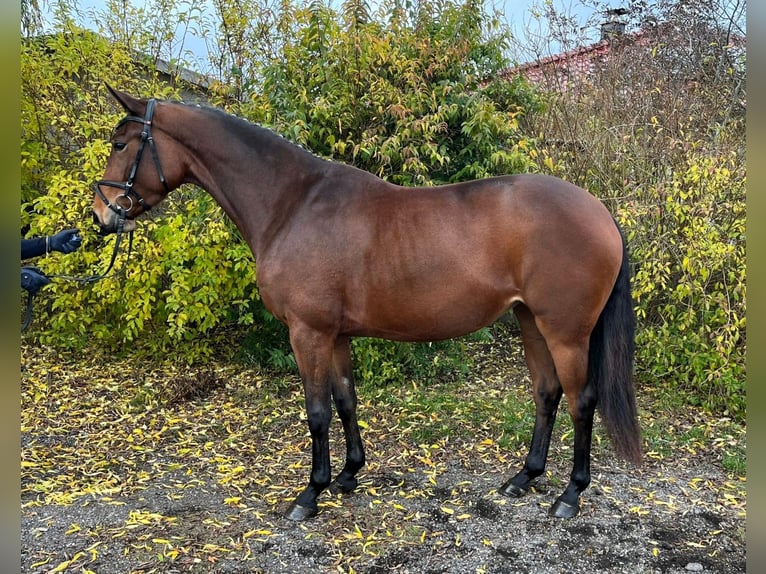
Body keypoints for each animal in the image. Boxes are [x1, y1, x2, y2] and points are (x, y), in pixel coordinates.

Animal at [91, 85, 640, 520]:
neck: (293, 204)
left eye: (120, 144)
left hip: (565, 331)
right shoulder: (334, 336)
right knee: (546, 394)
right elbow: (345, 400)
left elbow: (316, 412)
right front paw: (348, 476)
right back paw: (524, 478)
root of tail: (600, 212)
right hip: (529, 321)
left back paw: (570, 495)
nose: (101, 215)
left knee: (581, 401)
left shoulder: (307, 332)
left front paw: (309, 495)